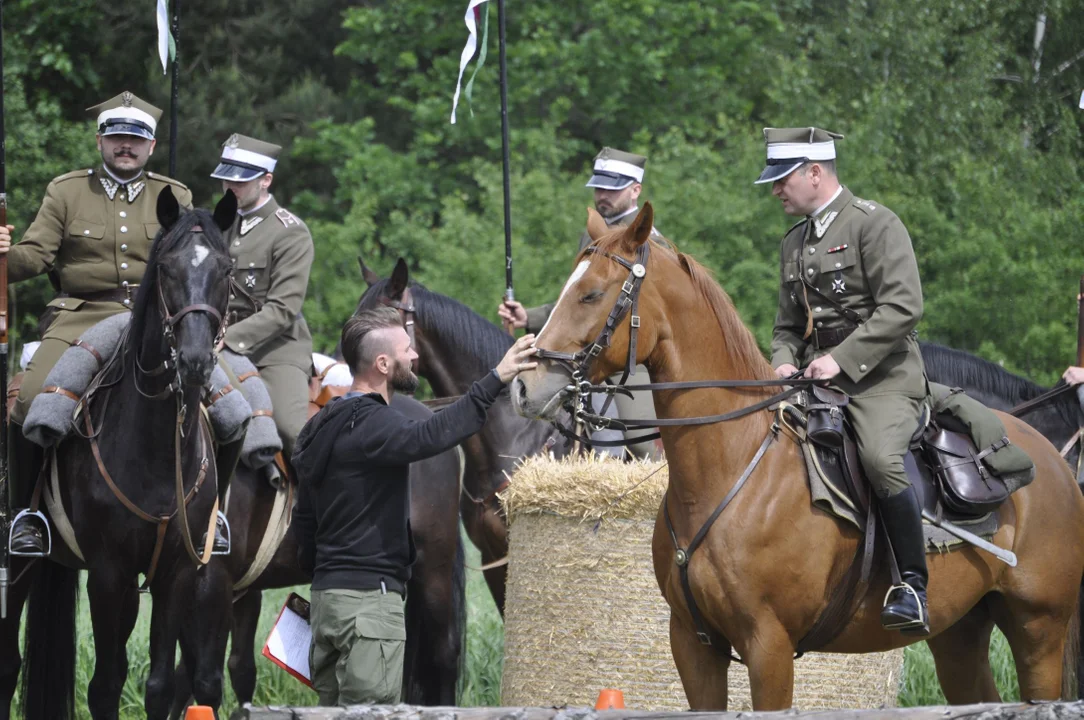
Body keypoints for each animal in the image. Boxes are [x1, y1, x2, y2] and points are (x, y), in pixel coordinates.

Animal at [0, 186, 236, 720]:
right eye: (166, 267)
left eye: (226, 269)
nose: (195, 363)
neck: (157, 449)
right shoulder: (109, 574)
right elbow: (105, 686)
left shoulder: (176, 573)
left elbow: (161, 686)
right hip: (20, 562)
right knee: (7, 662)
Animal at [171, 377, 468, 715]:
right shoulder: (230, 589)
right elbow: (217, 673)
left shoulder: (213, 584)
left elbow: (205, 680)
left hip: (434, 568)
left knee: (443, 654)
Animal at [513, 200, 1084, 706]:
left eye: (591, 294)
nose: (524, 386)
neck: (730, 467)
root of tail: (1054, 462)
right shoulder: (694, 645)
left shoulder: (769, 646)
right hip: (960, 633)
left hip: (1038, 630)